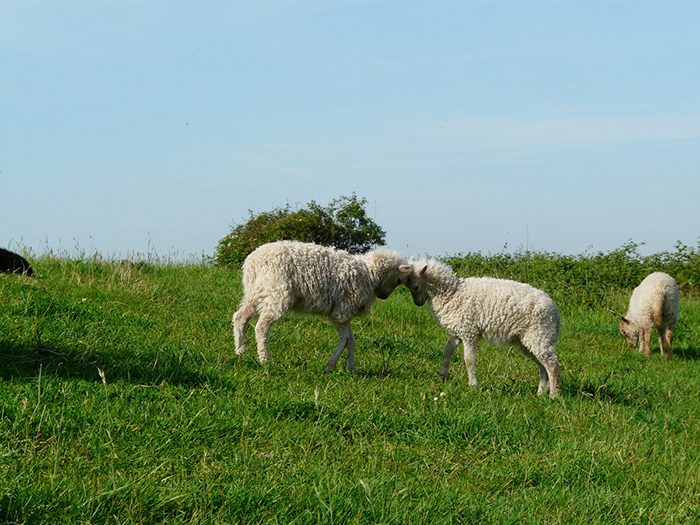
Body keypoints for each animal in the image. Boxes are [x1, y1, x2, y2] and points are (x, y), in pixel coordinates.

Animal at [232, 239, 412, 370]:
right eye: (398, 280)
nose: (383, 296)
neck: (368, 273)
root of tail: (252, 263)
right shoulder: (341, 311)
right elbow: (345, 340)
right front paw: (331, 366)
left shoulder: (345, 314)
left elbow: (351, 341)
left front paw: (351, 369)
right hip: (276, 294)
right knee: (262, 327)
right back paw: (265, 360)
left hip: (256, 294)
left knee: (240, 317)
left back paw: (240, 351)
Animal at [404, 258, 564, 398]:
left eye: (415, 287)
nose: (418, 303)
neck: (451, 293)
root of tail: (555, 313)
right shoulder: (459, 331)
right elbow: (448, 349)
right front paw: (444, 374)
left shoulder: (469, 331)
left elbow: (468, 360)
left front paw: (473, 386)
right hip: (529, 340)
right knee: (542, 366)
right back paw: (541, 392)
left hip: (539, 334)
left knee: (552, 365)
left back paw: (553, 395)